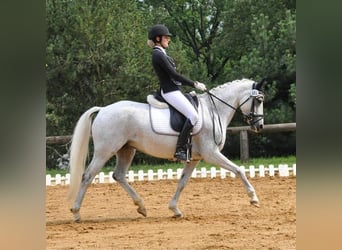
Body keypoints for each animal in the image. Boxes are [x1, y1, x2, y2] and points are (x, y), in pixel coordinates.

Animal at [67, 77, 264, 221]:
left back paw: (142, 207)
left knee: (119, 175)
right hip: (105, 151)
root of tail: (102, 109)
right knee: (87, 176)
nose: (259, 126)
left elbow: (182, 182)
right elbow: (239, 170)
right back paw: (76, 212)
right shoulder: (211, 154)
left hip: (126, 150)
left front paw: (174, 209)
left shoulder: (194, 159)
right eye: (259, 100)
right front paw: (253, 198)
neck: (213, 111)